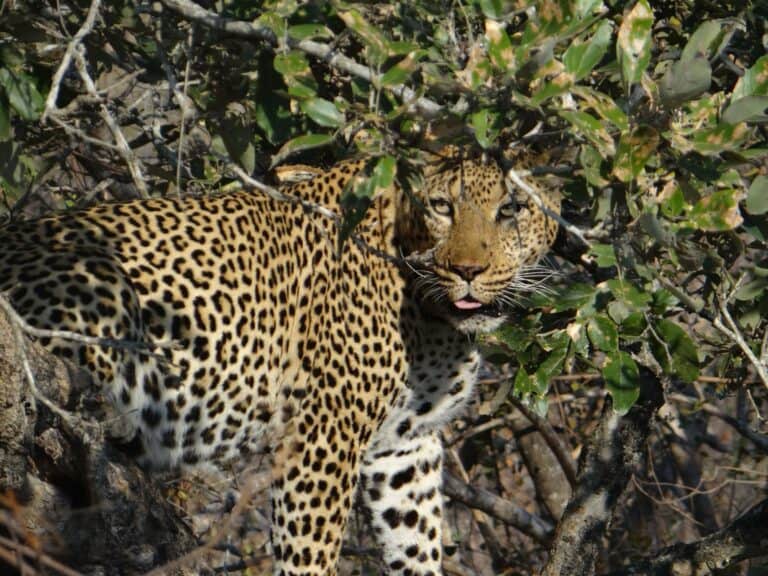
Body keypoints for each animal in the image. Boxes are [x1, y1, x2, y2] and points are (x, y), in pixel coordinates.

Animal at [0, 154, 559, 576]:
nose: (468, 271)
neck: (436, 321)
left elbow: (416, 538)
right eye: (442, 206)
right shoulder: (325, 434)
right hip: (99, 275)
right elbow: (311, 552)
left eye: (511, 208)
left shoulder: (407, 442)